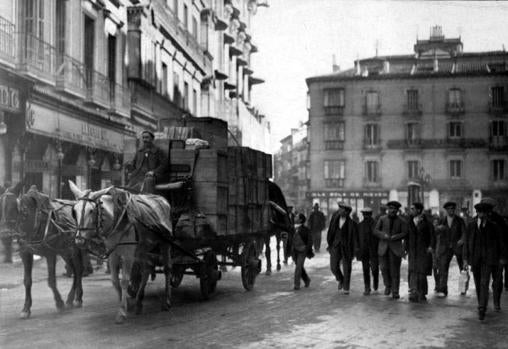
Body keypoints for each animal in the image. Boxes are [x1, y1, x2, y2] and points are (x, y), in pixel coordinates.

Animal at [68, 181, 174, 322]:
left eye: (91, 211)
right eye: (74, 211)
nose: (79, 241)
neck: (117, 219)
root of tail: (162, 199)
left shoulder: (128, 255)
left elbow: (124, 280)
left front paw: (122, 312)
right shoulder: (113, 254)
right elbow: (114, 280)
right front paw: (126, 304)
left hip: (165, 243)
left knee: (167, 269)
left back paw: (166, 301)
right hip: (143, 248)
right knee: (146, 269)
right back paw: (139, 302)